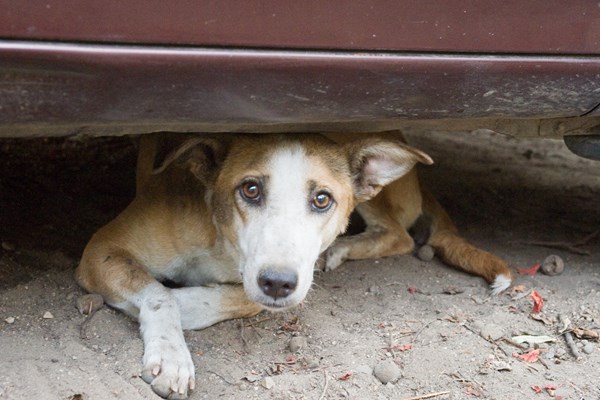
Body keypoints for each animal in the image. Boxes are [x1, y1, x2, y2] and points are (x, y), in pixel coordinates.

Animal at [75, 133, 434, 398]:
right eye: (250, 189)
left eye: (322, 199)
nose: (277, 282)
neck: (223, 244)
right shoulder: (101, 249)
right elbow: (158, 293)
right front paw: (171, 355)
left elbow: (246, 300)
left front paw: (184, 306)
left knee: (400, 236)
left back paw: (339, 249)